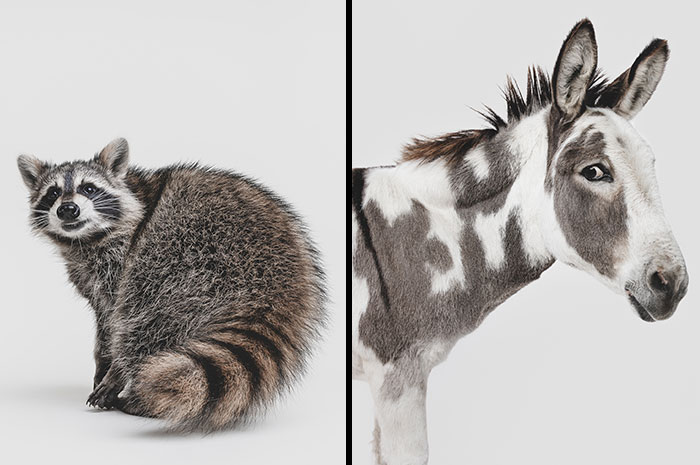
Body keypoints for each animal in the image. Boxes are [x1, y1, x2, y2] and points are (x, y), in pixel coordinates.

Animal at [17, 138, 326, 431]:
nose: (68, 209)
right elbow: (106, 319)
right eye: (53, 193)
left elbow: (123, 317)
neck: (87, 239)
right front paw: (102, 362)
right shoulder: (90, 276)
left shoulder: (125, 255)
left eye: (89, 189)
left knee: (148, 313)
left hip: (191, 257)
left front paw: (114, 371)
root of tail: (279, 286)